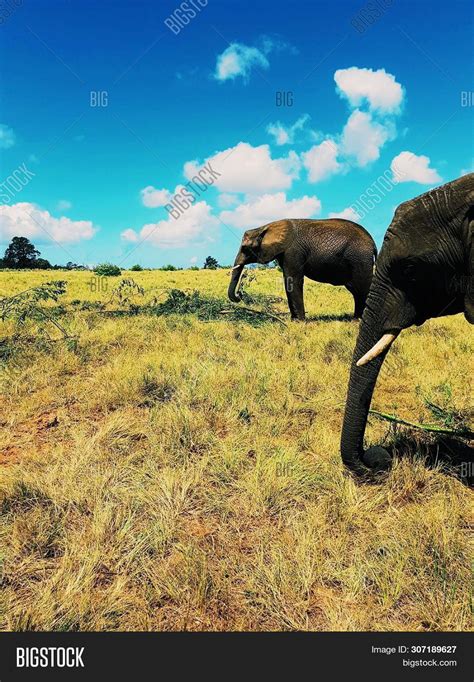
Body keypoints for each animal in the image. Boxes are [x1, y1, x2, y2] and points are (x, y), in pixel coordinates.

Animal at [228, 220, 376, 322]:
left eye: (245, 248)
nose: (240, 295)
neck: (266, 226)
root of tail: (373, 243)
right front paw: (294, 320)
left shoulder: (293, 252)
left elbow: (293, 280)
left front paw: (299, 322)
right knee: (356, 290)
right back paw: (356, 318)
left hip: (360, 259)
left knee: (362, 288)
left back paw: (358, 320)